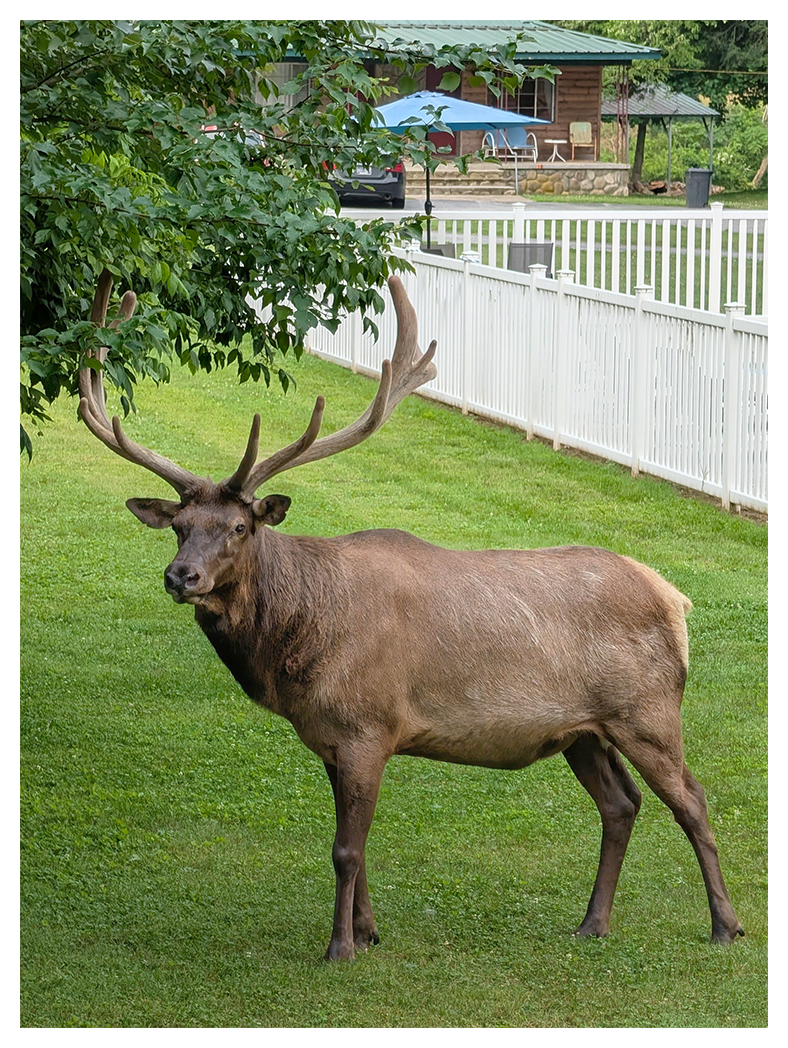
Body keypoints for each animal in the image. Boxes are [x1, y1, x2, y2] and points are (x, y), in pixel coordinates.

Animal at [78, 268, 744, 961]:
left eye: (238, 526)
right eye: (179, 527)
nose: (181, 576)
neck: (296, 656)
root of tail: (675, 597)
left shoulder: (369, 725)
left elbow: (345, 850)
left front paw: (339, 948)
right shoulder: (329, 740)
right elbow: (359, 849)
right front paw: (369, 932)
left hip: (647, 710)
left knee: (692, 799)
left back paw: (725, 925)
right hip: (584, 730)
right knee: (621, 804)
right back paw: (593, 921)